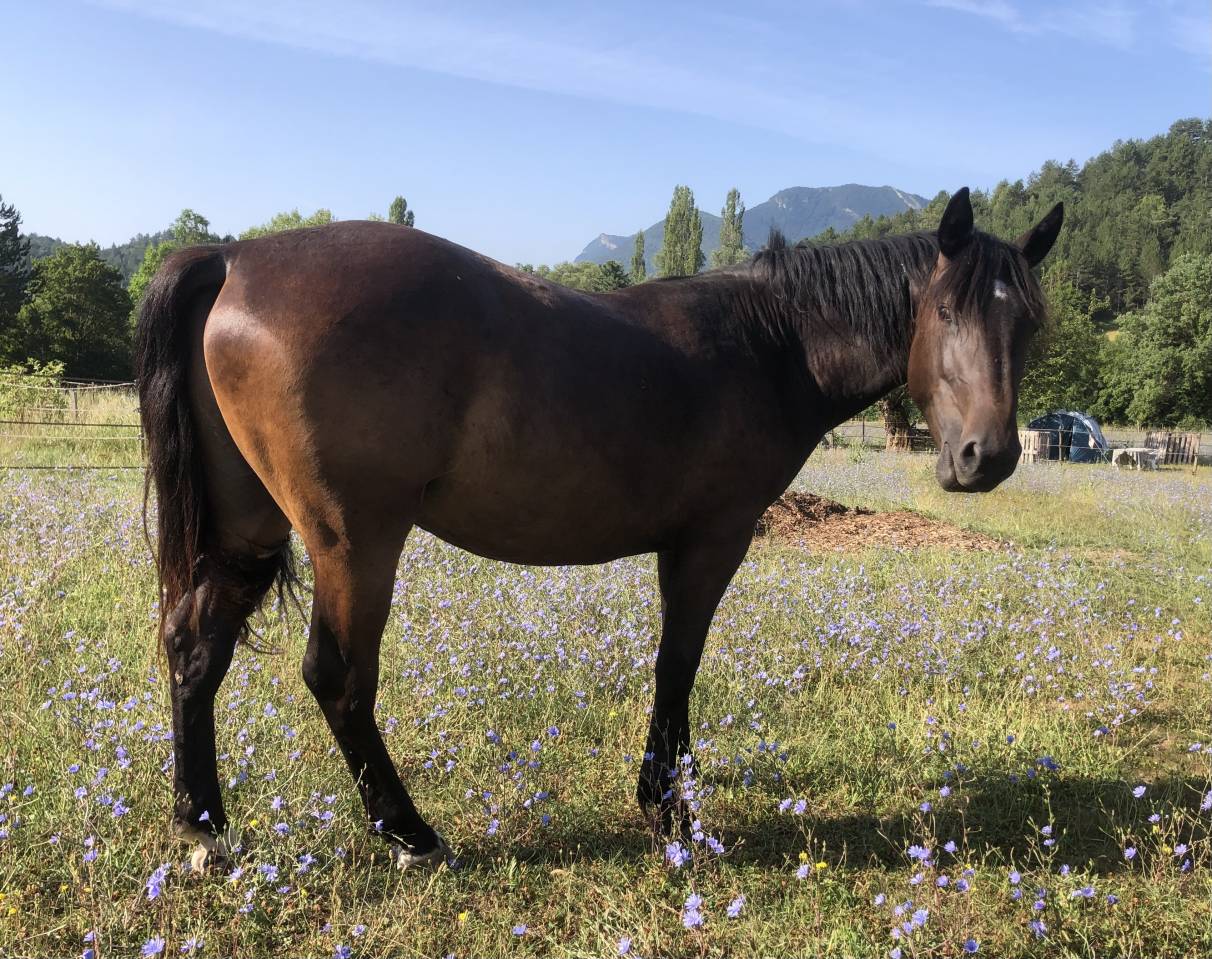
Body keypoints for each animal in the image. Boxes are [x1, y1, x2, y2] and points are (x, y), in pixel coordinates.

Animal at [135, 187, 1062, 870]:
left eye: (1027, 322)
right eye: (945, 311)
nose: (986, 456)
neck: (771, 344)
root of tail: (233, 257)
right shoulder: (712, 540)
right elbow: (678, 665)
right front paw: (669, 808)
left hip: (247, 532)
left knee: (195, 650)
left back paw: (204, 826)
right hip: (354, 539)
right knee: (336, 677)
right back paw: (410, 832)